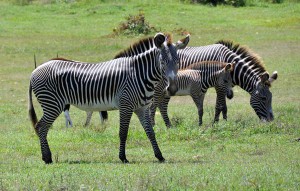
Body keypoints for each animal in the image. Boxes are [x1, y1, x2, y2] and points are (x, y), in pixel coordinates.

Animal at [27, 33, 189, 164]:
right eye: (162, 62)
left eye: (178, 62)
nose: (172, 89)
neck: (138, 74)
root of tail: (34, 71)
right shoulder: (126, 105)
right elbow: (123, 132)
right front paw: (123, 158)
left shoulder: (141, 108)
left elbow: (150, 132)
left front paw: (159, 156)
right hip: (53, 104)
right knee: (41, 127)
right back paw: (47, 158)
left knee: (41, 127)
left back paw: (46, 157)